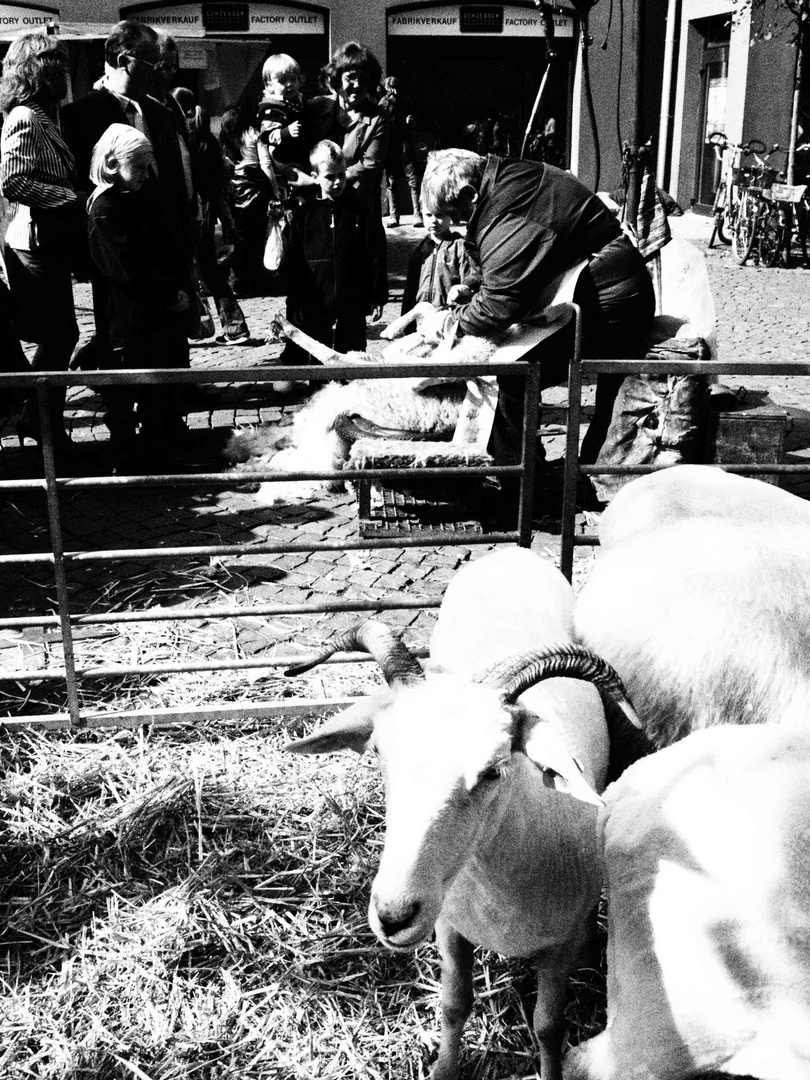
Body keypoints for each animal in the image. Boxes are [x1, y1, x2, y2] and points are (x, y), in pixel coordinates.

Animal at [282, 548, 639, 1080]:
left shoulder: (560, 947)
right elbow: (454, 1005)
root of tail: (512, 550)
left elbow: (548, 1027)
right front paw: (444, 1069)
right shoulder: (449, 929)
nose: (393, 916)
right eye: (380, 753)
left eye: (494, 769)